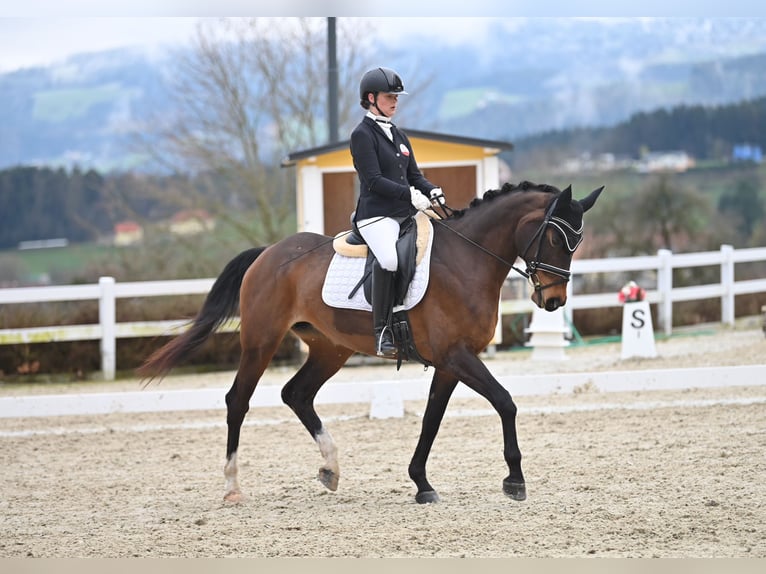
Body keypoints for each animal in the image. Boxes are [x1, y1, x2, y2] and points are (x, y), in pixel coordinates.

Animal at [138, 180, 608, 504]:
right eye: (555, 237)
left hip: (330, 348)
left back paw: (330, 469)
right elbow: (505, 402)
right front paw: (514, 481)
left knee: (297, 394)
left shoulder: (450, 362)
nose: (552, 301)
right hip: (261, 341)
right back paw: (233, 487)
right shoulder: (457, 356)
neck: (467, 260)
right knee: (238, 400)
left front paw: (421, 483)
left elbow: (432, 419)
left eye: (578, 241)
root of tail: (268, 253)